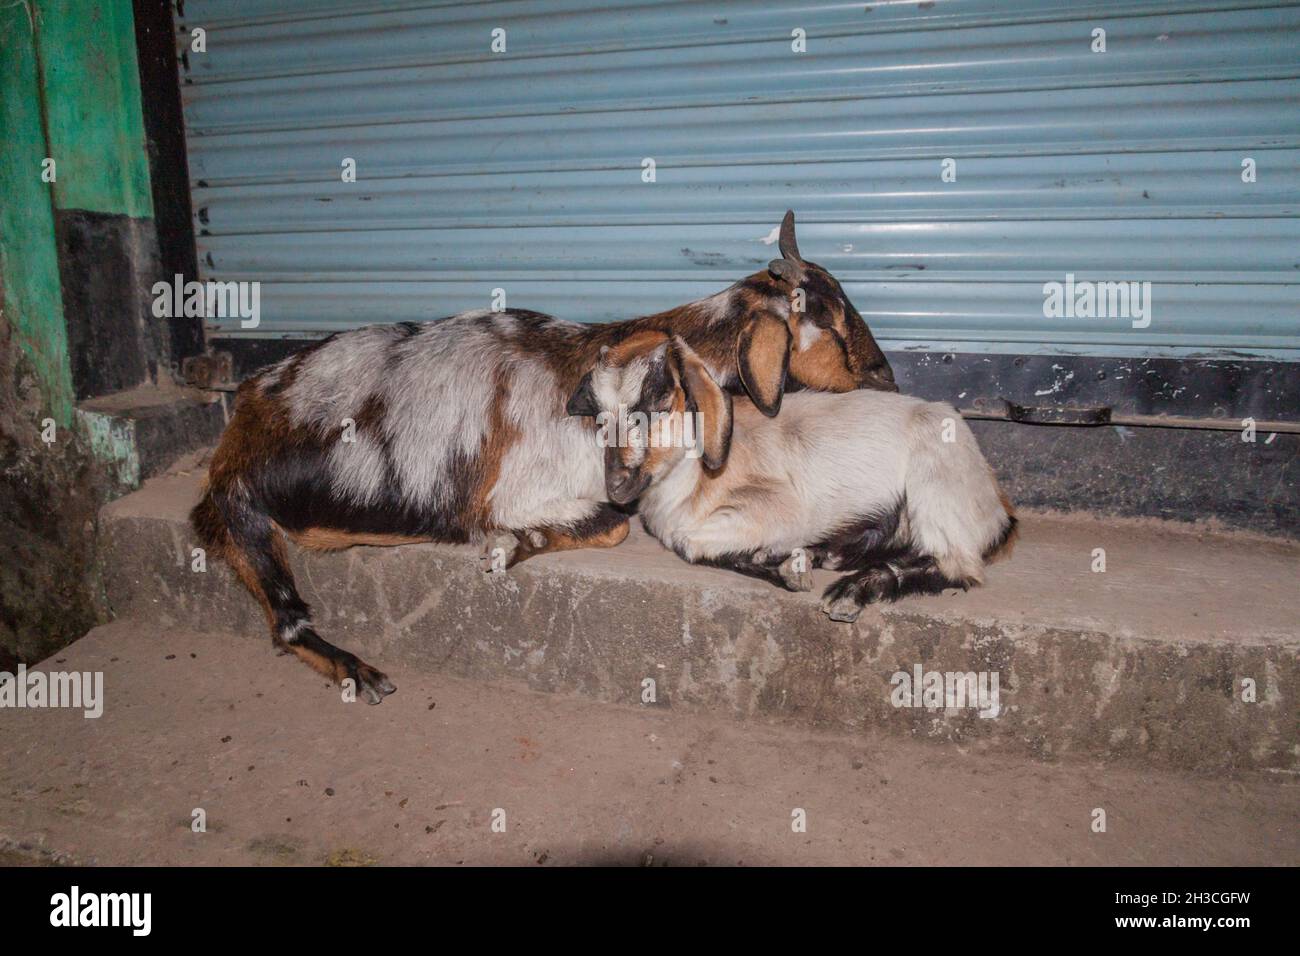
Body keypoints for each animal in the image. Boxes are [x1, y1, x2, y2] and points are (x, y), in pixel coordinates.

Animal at [191, 212, 895, 701]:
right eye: (827, 316)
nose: (887, 377)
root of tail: (246, 411)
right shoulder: (517, 491)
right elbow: (611, 525)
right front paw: (511, 544)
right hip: (245, 510)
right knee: (285, 620)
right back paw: (359, 672)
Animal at [566, 335, 1017, 622]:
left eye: (659, 401)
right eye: (599, 416)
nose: (617, 486)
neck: (692, 481)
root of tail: (997, 503)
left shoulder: (781, 506)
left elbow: (688, 543)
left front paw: (789, 565)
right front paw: (789, 562)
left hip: (937, 482)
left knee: (958, 565)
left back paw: (852, 590)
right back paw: (831, 554)